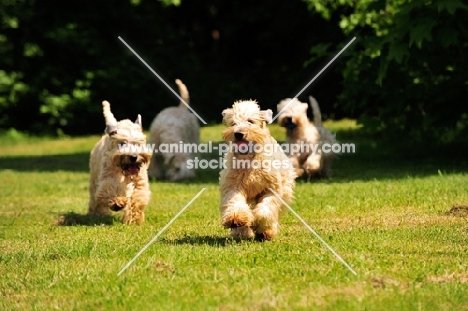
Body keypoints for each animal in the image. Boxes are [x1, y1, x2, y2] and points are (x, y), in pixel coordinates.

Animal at [219, 100, 296, 241]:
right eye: (233, 123)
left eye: (250, 121)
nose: (238, 134)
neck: (249, 159)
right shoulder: (233, 186)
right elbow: (235, 203)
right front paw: (236, 218)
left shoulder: (271, 189)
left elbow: (266, 210)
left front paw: (259, 224)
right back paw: (241, 231)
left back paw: (266, 231)